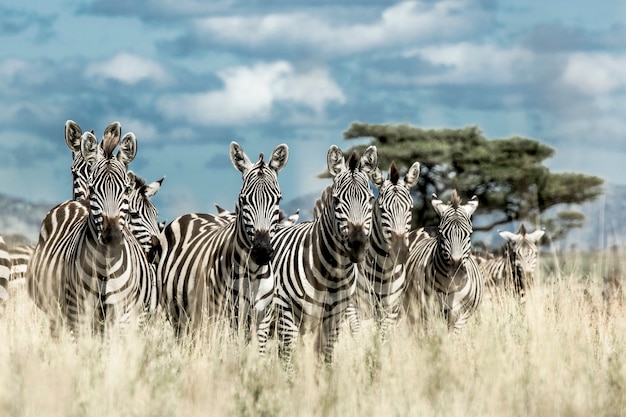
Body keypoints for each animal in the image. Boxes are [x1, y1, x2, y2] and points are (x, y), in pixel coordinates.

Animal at [27, 122, 156, 334]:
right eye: (75, 173)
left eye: (126, 189)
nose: (112, 237)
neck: (105, 265)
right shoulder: (78, 316)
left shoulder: (124, 317)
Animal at [158, 141, 290, 336]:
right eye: (243, 200)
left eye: (278, 200)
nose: (262, 251)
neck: (253, 273)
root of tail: (193, 213)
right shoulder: (224, 315)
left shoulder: (262, 319)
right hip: (179, 314)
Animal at [258, 145, 376, 366]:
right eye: (337, 200)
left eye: (371, 199)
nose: (357, 245)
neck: (332, 275)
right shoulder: (287, 312)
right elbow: (289, 361)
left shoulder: (335, 318)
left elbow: (325, 359)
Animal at [346, 159, 420, 338]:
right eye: (382, 209)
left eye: (410, 208)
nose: (400, 251)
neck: (383, 271)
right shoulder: (353, 307)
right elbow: (357, 335)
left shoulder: (391, 309)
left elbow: (383, 338)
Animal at [402, 190, 480, 334]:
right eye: (442, 234)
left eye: (469, 234)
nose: (456, 266)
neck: (451, 284)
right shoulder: (429, 310)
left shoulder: (463, 312)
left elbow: (454, 333)